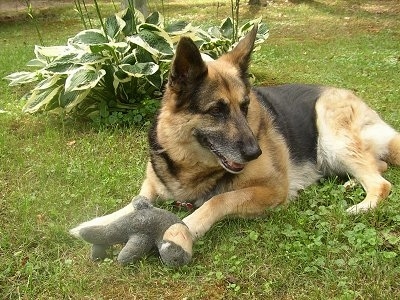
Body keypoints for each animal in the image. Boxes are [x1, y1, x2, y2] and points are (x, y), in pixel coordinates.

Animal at [75, 25, 400, 246]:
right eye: (217, 110)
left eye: (244, 106)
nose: (255, 153)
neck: (189, 163)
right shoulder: (151, 187)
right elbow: (132, 203)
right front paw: (93, 224)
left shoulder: (272, 189)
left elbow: (219, 200)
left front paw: (185, 228)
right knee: (378, 167)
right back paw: (350, 184)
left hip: (331, 133)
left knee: (382, 183)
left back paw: (360, 205)